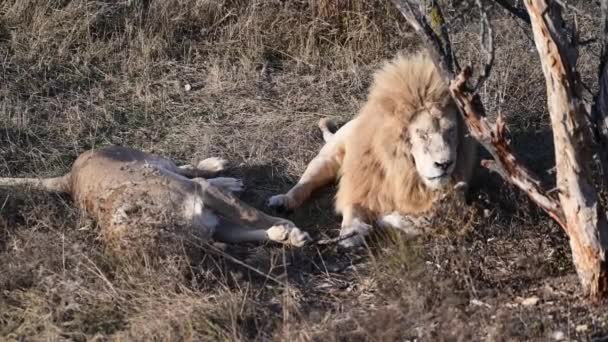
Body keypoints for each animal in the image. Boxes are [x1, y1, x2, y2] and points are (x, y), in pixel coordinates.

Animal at [0, 146, 312, 255]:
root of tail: (70, 176)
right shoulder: (217, 225)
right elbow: (255, 225)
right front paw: (287, 233)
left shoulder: (203, 197)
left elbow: (254, 216)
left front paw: (289, 229)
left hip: (150, 159)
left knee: (184, 167)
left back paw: (218, 171)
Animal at [270, 50, 476, 247]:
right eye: (423, 134)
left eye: (450, 131)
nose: (445, 164)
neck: (405, 172)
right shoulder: (362, 184)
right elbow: (352, 208)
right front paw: (351, 234)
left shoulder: (457, 197)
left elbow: (427, 220)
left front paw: (388, 219)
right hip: (326, 158)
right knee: (305, 183)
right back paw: (283, 202)